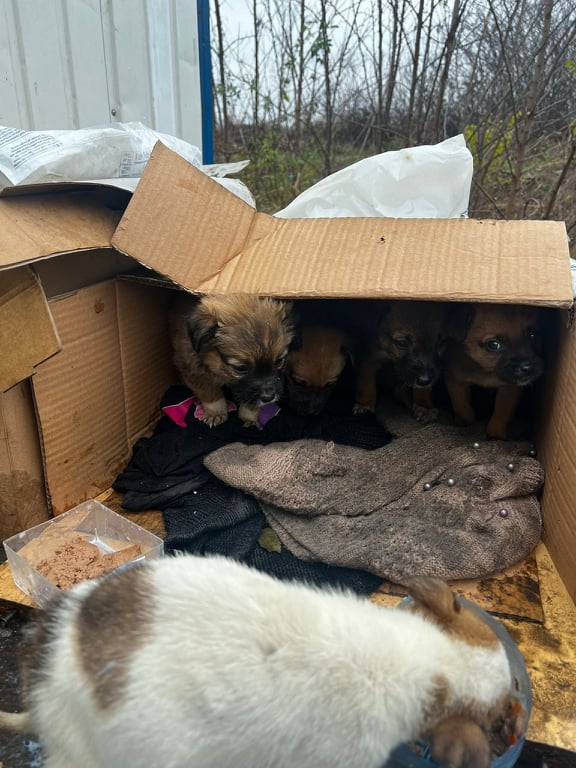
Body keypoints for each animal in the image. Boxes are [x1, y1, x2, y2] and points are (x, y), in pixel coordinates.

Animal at [166, 292, 292, 426]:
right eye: (240, 368)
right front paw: (216, 413)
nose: (269, 397)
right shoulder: (194, 370)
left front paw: (249, 416)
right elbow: (211, 393)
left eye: (279, 361)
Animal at [440, 304, 544, 440]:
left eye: (532, 335)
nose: (527, 367)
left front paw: (497, 435)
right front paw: (466, 423)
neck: (487, 371)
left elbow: (500, 415)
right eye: (494, 344)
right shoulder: (455, 383)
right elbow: (462, 407)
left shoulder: (509, 389)